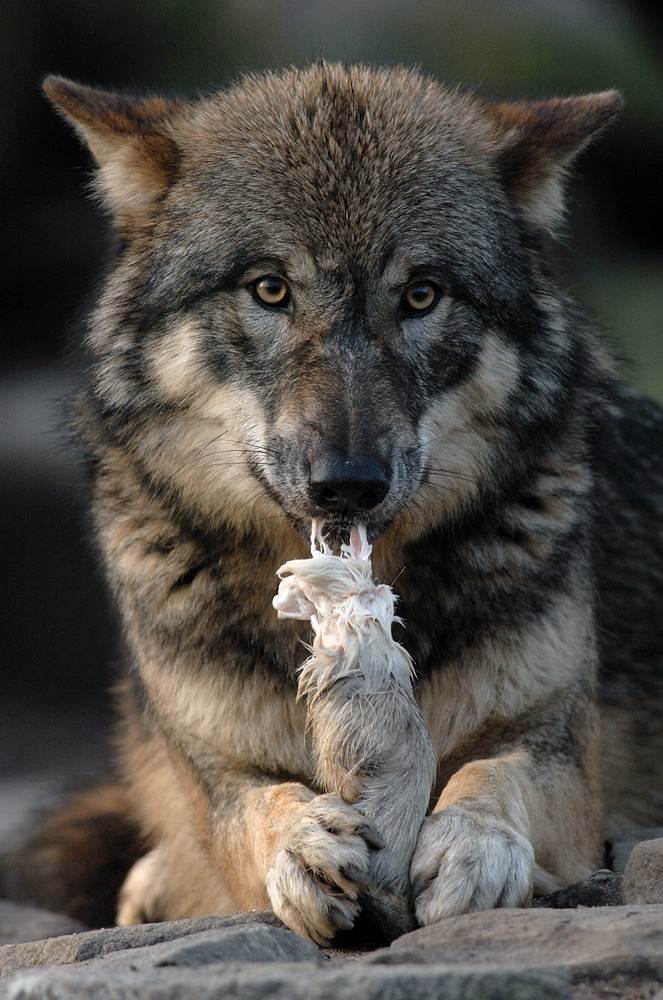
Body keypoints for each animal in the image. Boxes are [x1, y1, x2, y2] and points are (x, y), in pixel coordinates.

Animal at [11, 64, 663, 944]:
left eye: (420, 295)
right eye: (270, 289)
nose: (348, 483)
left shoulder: (558, 746)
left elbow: (496, 776)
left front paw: (475, 843)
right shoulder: (215, 774)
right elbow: (258, 807)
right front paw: (301, 844)